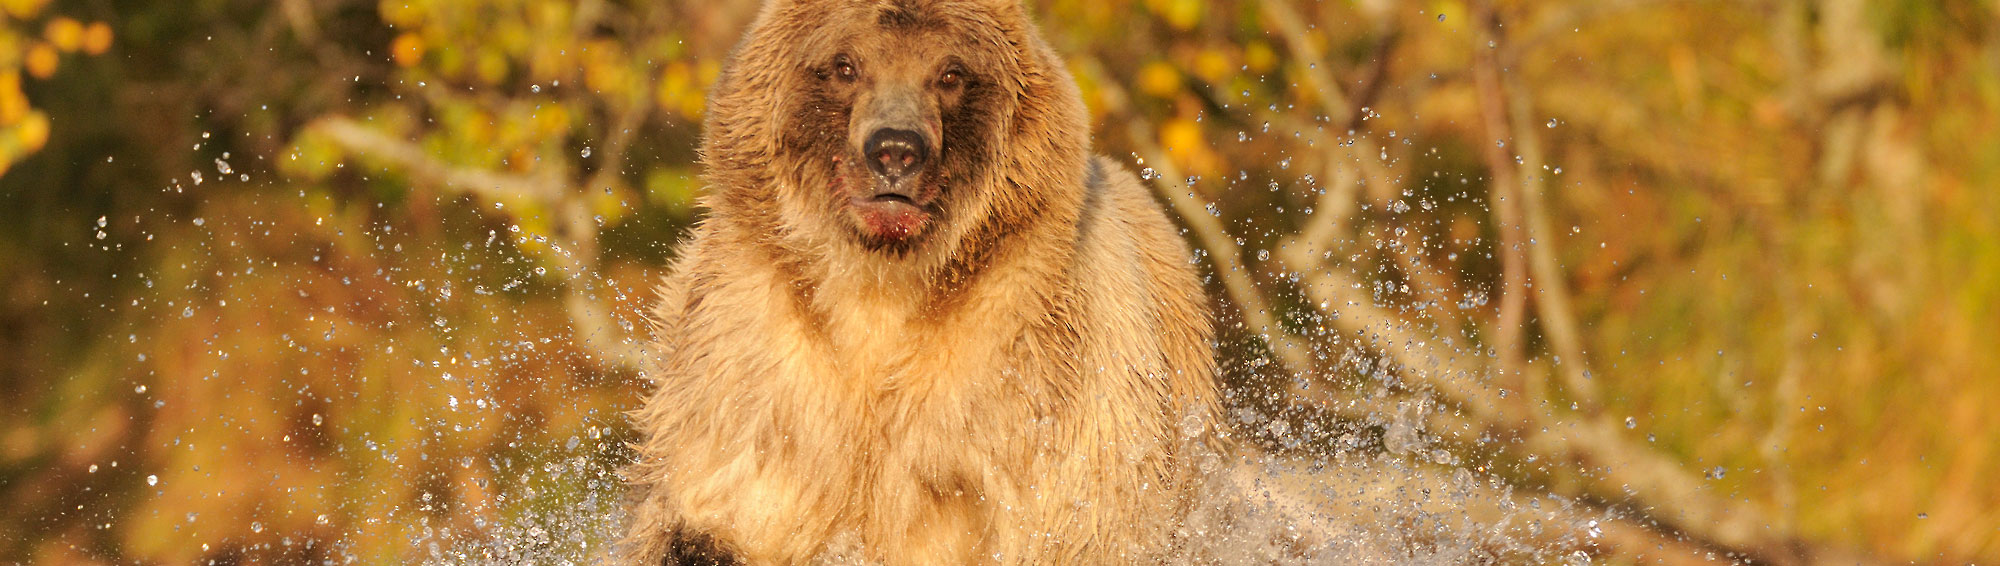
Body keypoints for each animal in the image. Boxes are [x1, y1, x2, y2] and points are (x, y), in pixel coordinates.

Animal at [616, 1, 1224, 564]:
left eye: (951, 73)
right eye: (845, 64)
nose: (895, 151)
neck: (883, 284)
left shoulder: (1029, 376)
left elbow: (1069, 515)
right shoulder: (760, 366)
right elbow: (720, 509)